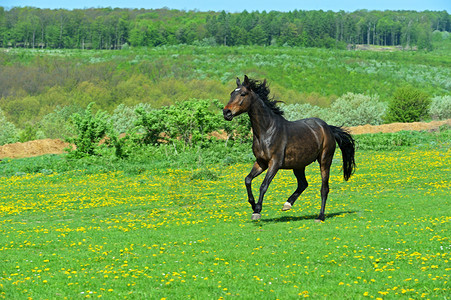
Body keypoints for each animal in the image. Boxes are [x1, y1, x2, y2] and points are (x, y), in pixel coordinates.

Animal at [222, 75, 356, 220]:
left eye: (243, 94)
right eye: (231, 93)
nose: (226, 112)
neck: (267, 131)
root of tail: (328, 128)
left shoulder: (274, 163)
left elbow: (264, 185)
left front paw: (257, 210)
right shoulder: (261, 163)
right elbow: (248, 180)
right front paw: (253, 205)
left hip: (325, 160)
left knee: (324, 188)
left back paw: (320, 217)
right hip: (298, 165)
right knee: (303, 184)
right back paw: (287, 204)